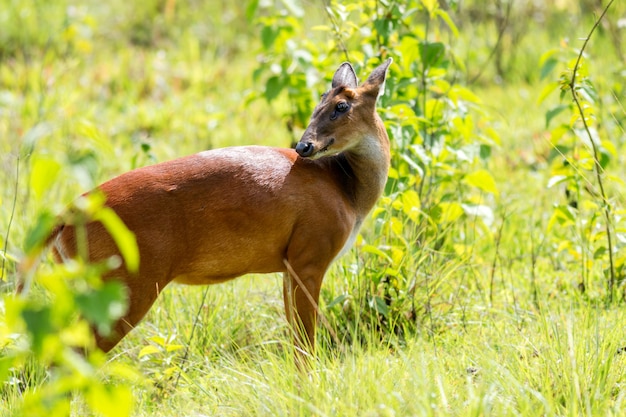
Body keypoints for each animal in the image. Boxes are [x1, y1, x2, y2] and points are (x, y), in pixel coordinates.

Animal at [18, 57, 390, 358]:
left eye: (340, 106)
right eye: (319, 105)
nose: (304, 146)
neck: (345, 190)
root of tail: (66, 214)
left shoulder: (288, 264)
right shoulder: (310, 254)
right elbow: (305, 345)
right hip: (126, 282)